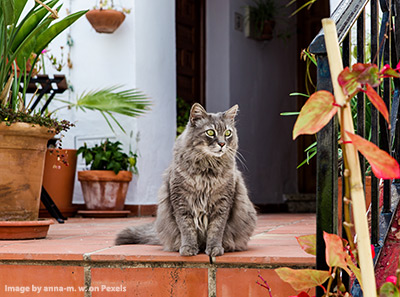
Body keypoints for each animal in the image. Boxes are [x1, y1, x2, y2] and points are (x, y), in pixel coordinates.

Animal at [115, 103, 256, 256]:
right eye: (210, 132)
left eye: (228, 133)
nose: (222, 144)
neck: (207, 171)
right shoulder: (181, 201)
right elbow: (187, 229)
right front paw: (188, 248)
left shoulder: (223, 203)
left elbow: (216, 229)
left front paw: (214, 249)